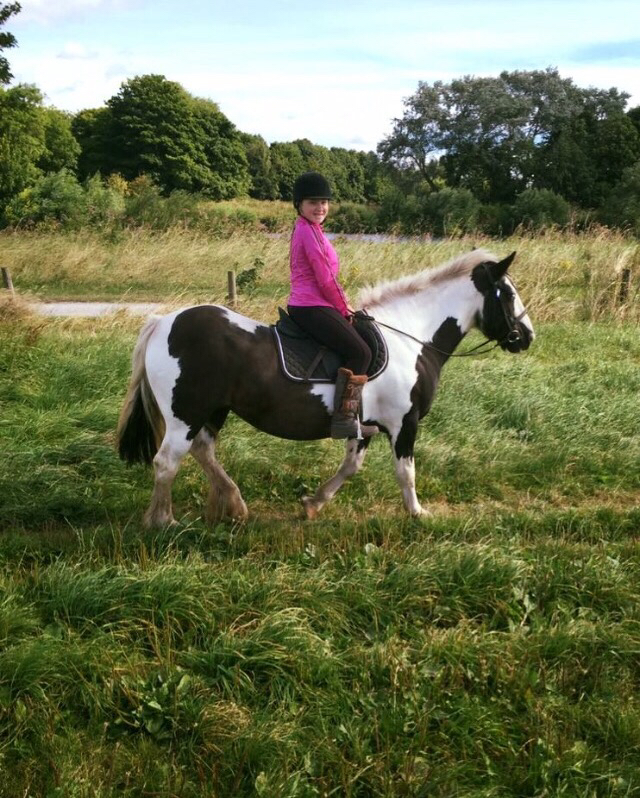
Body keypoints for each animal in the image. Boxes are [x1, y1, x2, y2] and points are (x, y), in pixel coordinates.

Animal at [116, 247, 536, 528]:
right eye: (509, 293)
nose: (527, 337)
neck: (410, 337)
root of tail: (162, 322)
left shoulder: (364, 424)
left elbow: (351, 467)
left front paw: (313, 503)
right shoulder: (404, 423)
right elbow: (406, 472)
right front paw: (417, 513)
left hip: (213, 410)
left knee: (203, 451)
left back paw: (234, 504)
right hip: (184, 414)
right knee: (167, 461)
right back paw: (163, 521)